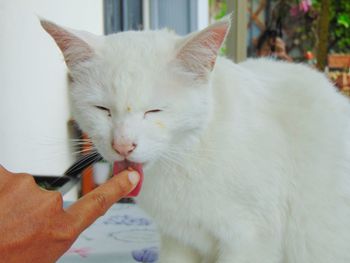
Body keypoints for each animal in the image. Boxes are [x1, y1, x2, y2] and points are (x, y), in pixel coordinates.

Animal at [41, 17, 350, 262]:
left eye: (155, 110)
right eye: (102, 109)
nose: (123, 145)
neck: (185, 157)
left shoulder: (250, 239)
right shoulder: (178, 238)